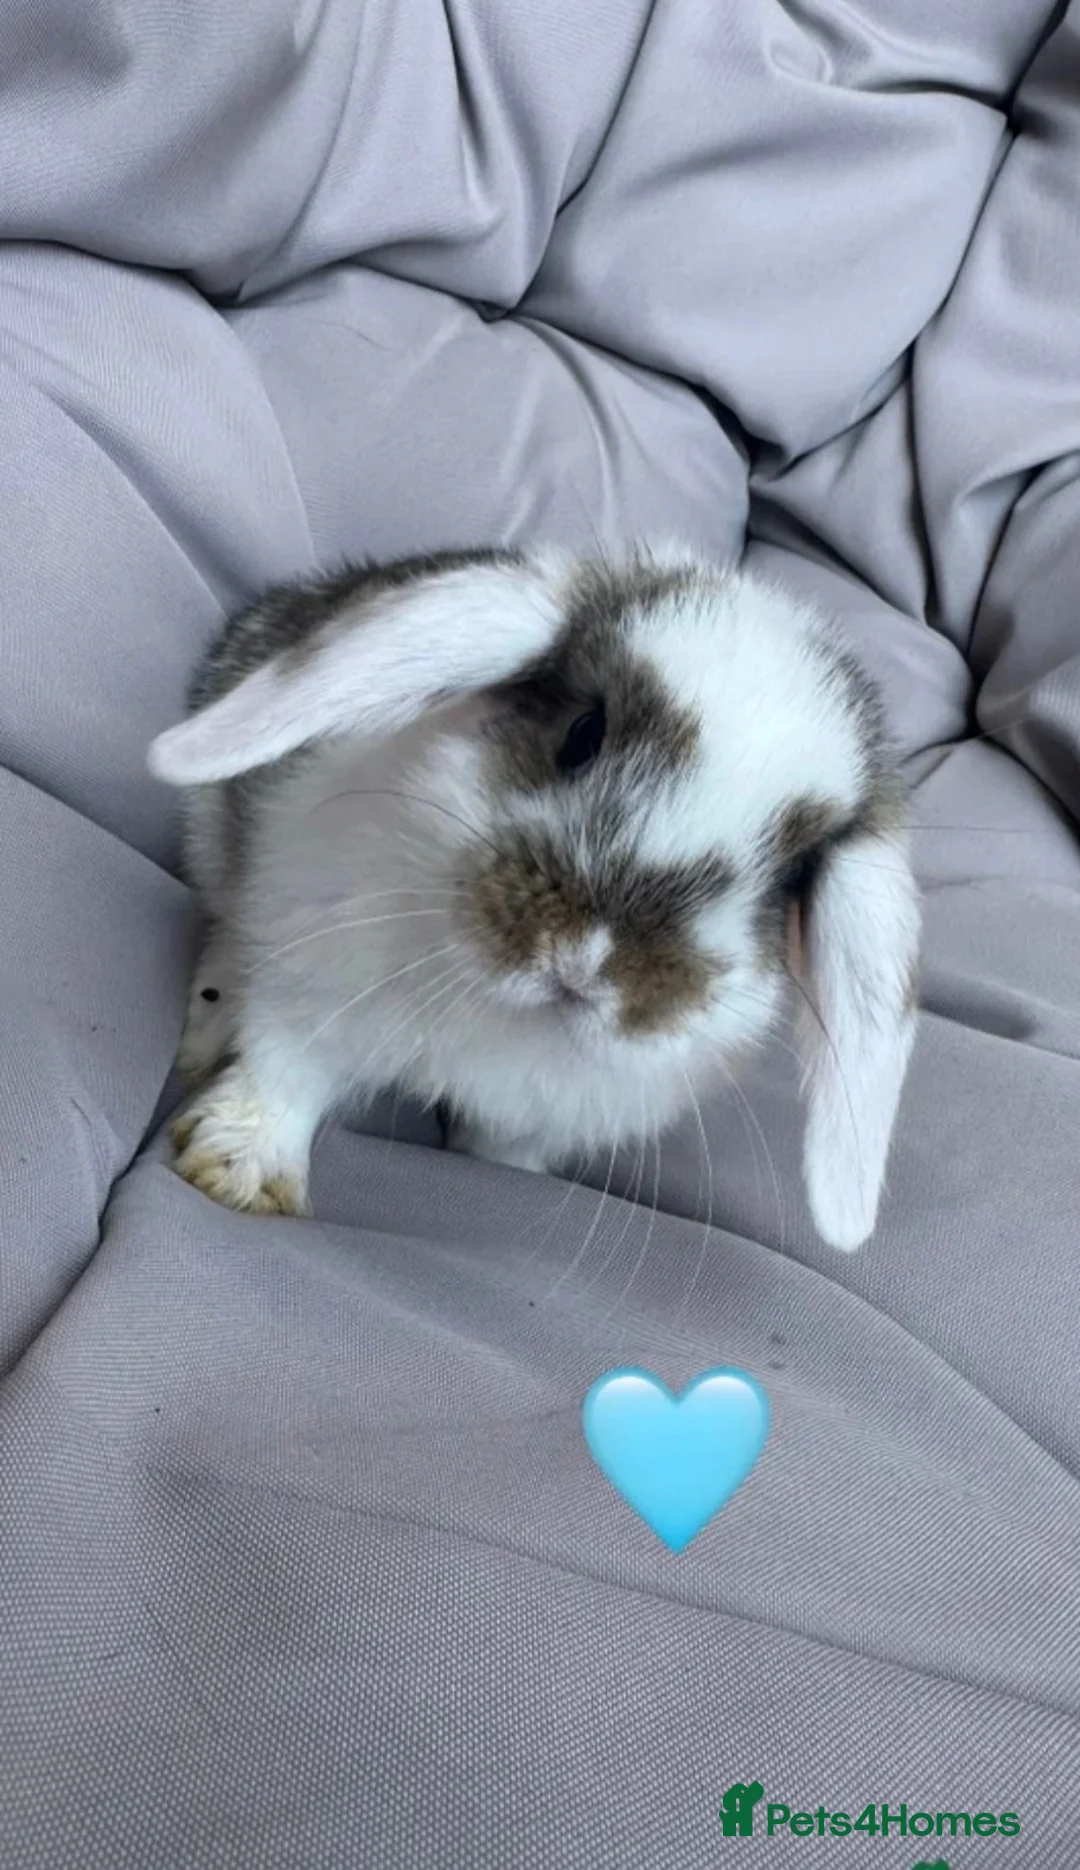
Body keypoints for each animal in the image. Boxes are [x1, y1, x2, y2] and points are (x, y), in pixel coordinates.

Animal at [148, 542, 920, 1253]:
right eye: (583, 734)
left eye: (788, 877)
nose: (585, 963)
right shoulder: (313, 976)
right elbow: (285, 1071)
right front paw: (240, 1172)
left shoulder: (535, 1118)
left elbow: (500, 1150)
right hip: (215, 839)